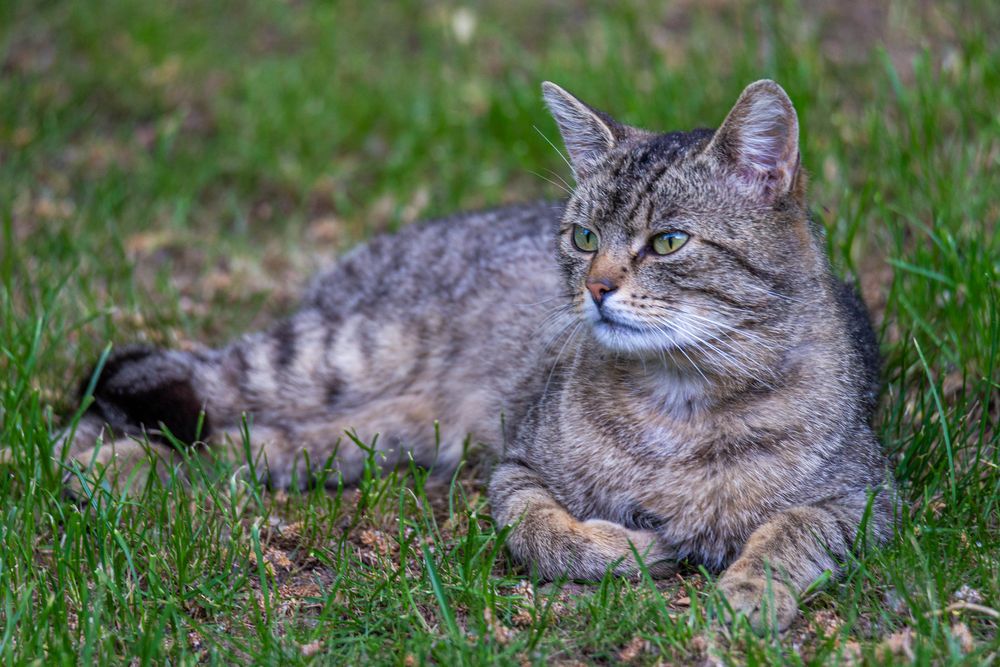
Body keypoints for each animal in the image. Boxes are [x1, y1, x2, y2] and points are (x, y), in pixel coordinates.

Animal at [58, 78, 896, 632]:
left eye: (668, 241)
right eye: (583, 236)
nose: (596, 286)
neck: (680, 401)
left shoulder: (865, 495)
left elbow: (792, 531)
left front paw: (751, 587)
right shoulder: (516, 464)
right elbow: (541, 530)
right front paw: (624, 549)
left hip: (380, 430)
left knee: (249, 447)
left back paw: (121, 469)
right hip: (333, 355)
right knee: (157, 392)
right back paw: (90, 460)